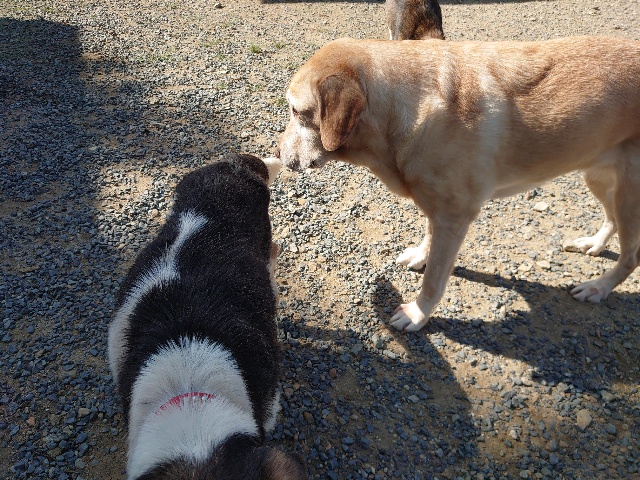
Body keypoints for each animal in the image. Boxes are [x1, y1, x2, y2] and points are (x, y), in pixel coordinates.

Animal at [275, 36, 640, 332]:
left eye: (296, 111)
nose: (276, 153)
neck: (406, 108)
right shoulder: (438, 208)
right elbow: (429, 236)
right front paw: (420, 254)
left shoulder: (454, 216)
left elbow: (434, 280)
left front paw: (417, 314)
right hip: (598, 176)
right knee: (610, 220)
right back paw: (593, 244)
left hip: (629, 197)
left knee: (631, 256)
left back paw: (599, 287)